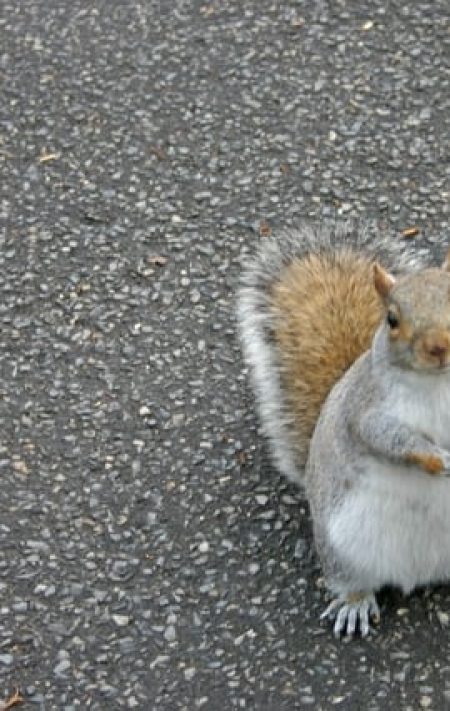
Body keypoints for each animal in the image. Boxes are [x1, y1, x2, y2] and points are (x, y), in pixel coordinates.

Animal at [237, 222, 450, 640]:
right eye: (391, 320)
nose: (439, 346)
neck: (439, 384)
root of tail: (418, 574)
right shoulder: (365, 409)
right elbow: (389, 439)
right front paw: (437, 458)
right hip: (343, 548)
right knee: (352, 581)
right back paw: (355, 604)